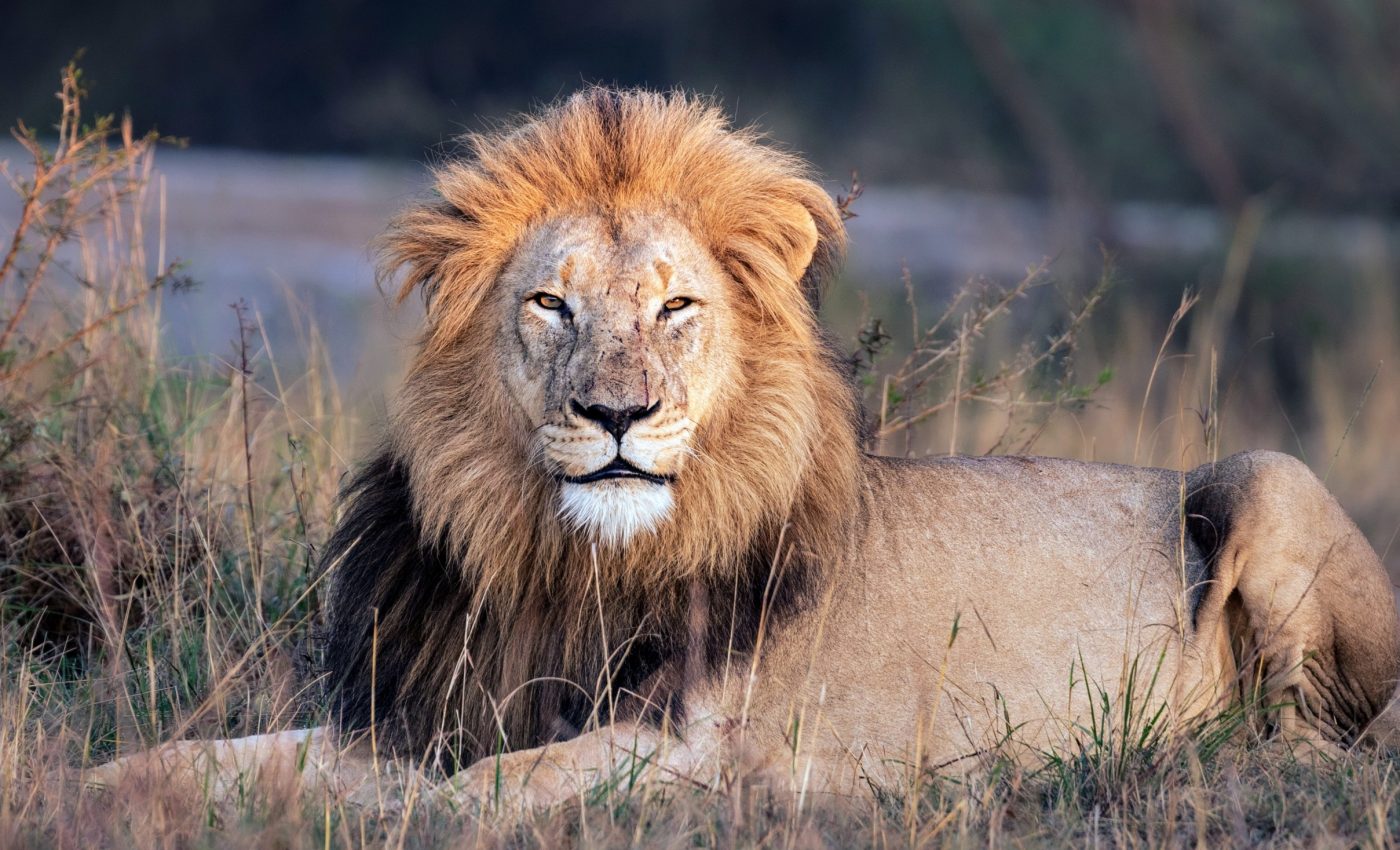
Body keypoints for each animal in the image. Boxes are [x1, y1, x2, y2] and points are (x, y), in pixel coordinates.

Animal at [82, 88, 1400, 815]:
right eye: (548, 304)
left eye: (676, 307)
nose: (616, 414)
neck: (566, 568)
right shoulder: (426, 708)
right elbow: (210, 757)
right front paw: (85, 792)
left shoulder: (702, 741)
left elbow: (486, 792)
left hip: (1267, 480)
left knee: (1319, 739)